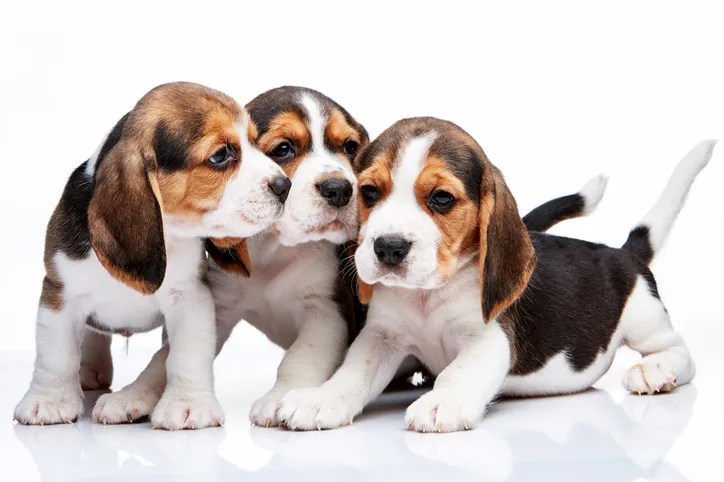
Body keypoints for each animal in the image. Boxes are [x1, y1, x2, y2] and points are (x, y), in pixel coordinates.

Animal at [14, 83, 292, 430]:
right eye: (220, 155)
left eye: (255, 142)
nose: (285, 186)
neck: (169, 232)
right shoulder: (59, 293)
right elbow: (56, 354)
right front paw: (49, 401)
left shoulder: (191, 298)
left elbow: (187, 354)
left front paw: (188, 405)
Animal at [87, 85, 370, 426]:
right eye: (284, 149)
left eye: (350, 146)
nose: (339, 189)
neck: (273, 249)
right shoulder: (219, 305)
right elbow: (165, 359)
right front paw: (132, 394)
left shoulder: (326, 308)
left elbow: (301, 356)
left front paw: (278, 399)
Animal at [276, 117, 712, 434]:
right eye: (369, 192)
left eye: (441, 198)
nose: (388, 247)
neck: (427, 294)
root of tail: (623, 252)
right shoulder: (381, 337)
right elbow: (353, 373)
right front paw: (318, 399)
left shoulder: (489, 339)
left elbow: (459, 371)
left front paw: (441, 403)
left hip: (643, 315)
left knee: (679, 353)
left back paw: (655, 370)